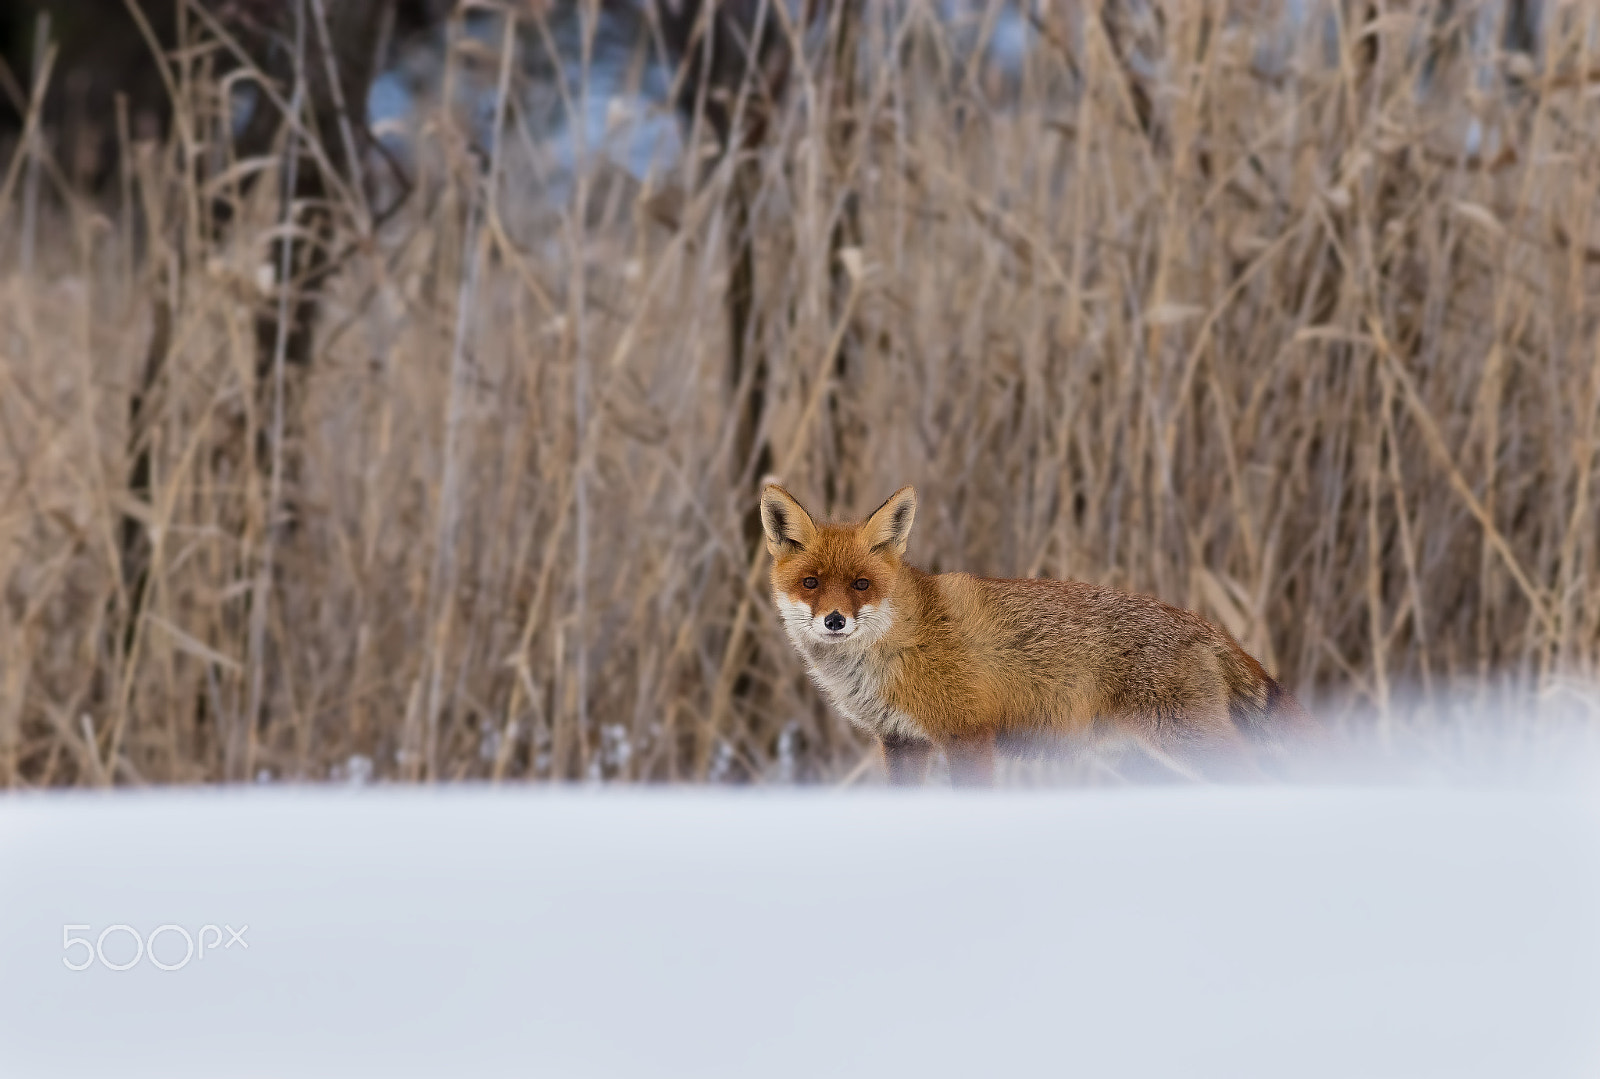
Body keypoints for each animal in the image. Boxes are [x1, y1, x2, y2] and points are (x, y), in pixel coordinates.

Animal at [761, 480, 1312, 781]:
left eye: (861, 584)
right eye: (811, 583)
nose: (835, 621)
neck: (897, 645)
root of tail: (1206, 625)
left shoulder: (967, 736)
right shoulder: (902, 743)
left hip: (1188, 741)